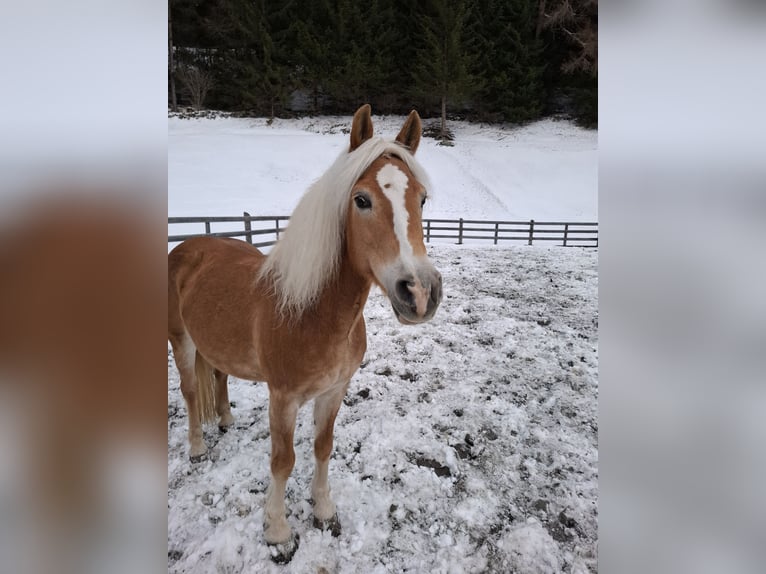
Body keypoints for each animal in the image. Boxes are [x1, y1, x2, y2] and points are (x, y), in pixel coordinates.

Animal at [168, 103, 444, 564]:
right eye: (362, 200)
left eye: (421, 199)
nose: (420, 293)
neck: (313, 313)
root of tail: (187, 247)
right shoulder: (283, 398)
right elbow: (283, 460)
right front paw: (278, 532)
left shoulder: (333, 391)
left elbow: (322, 446)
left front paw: (324, 510)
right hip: (181, 342)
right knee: (190, 392)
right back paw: (196, 448)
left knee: (219, 376)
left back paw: (225, 419)